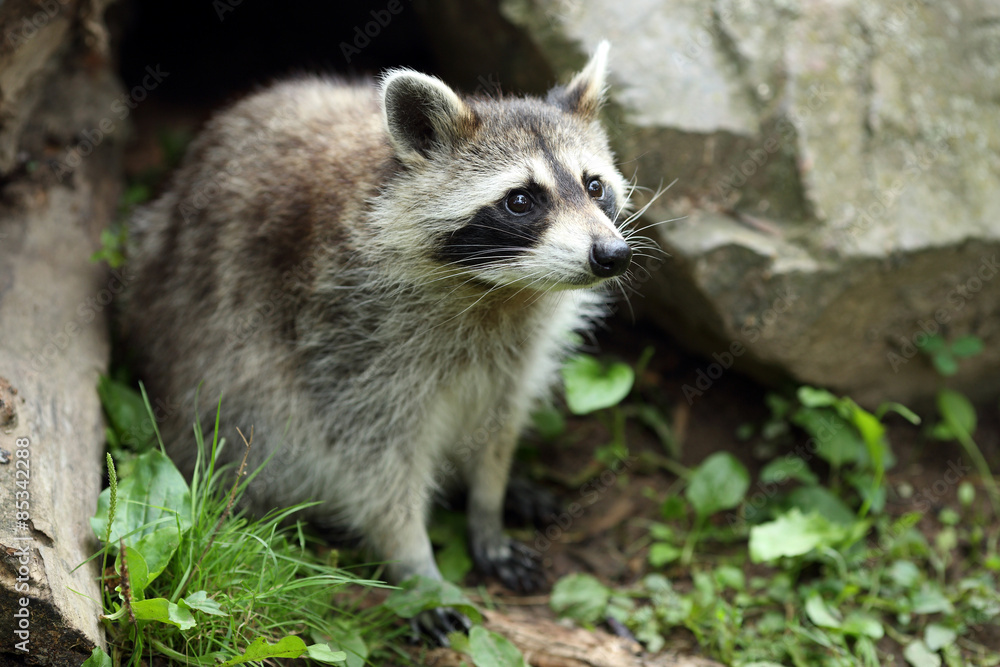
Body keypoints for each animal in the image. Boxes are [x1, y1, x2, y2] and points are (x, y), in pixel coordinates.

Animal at [123, 42, 635, 642]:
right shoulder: (345, 342)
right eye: (521, 200)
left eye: (594, 185)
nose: (612, 254)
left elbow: (498, 429)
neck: (499, 293)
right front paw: (416, 564)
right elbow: (373, 465)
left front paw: (487, 506)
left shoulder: (514, 358)